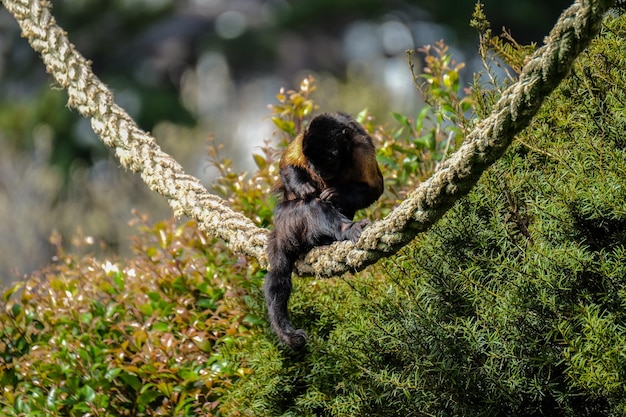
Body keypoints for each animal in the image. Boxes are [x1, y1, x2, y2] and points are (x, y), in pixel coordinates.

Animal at [262, 112, 380, 350]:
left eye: (329, 159)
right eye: (314, 163)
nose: (318, 171)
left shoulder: (362, 148)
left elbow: (375, 188)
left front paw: (337, 194)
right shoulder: (304, 139)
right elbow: (285, 163)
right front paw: (302, 186)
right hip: (288, 220)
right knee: (311, 206)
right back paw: (344, 228)